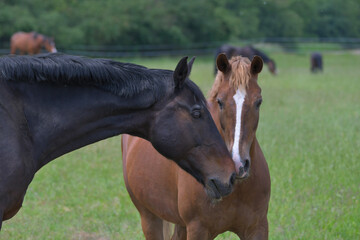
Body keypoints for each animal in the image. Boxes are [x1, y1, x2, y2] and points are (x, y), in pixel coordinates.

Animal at [122, 54, 272, 240]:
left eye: (259, 102)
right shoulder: (198, 229)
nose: (239, 164)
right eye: (220, 101)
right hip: (149, 218)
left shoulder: (257, 228)